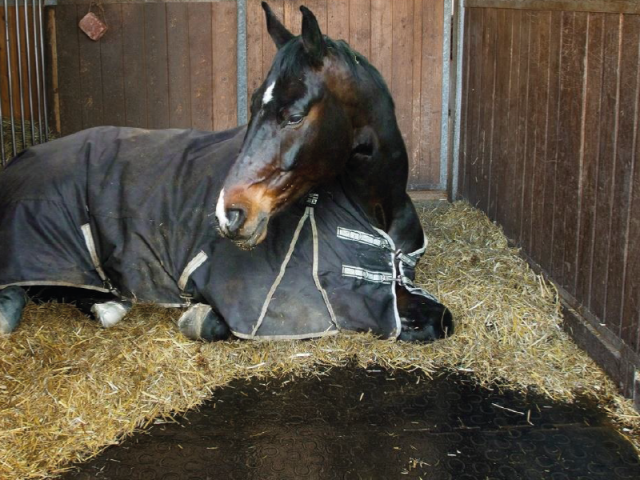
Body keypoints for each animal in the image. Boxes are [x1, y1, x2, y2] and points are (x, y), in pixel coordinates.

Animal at [0, 2, 452, 342]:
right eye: (253, 104)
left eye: (294, 115)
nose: (228, 214)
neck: (377, 211)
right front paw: (197, 316)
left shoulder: (397, 280)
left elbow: (439, 318)